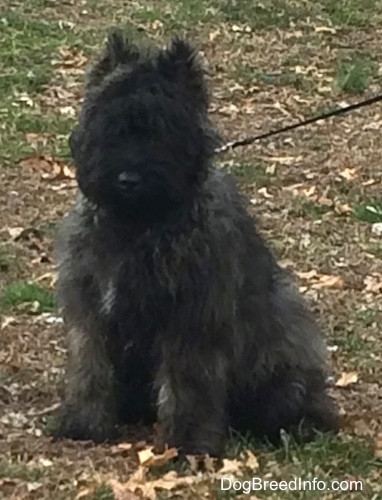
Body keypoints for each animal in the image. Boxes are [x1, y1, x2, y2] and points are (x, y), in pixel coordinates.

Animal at [53, 29, 338, 456]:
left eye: (161, 129)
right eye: (110, 125)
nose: (128, 179)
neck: (138, 225)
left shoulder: (191, 318)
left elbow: (188, 383)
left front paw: (189, 442)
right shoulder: (91, 309)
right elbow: (90, 367)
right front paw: (84, 422)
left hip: (279, 351)